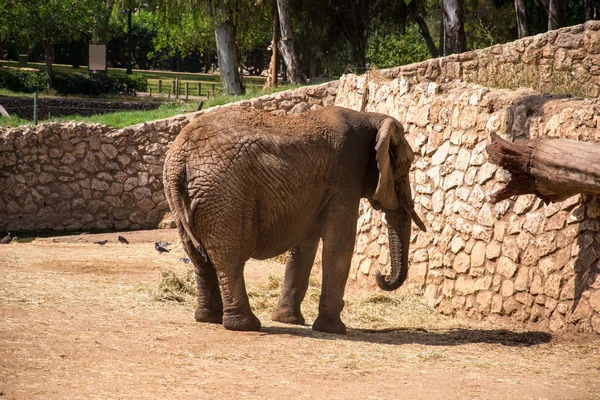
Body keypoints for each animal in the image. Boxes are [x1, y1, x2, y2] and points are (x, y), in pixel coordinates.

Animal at [163, 104, 426, 334]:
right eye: (408, 164)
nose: (381, 275)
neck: (371, 118)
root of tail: (180, 158)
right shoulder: (345, 177)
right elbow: (339, 245)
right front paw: (334, 330)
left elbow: (304, 247)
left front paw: (288, 320)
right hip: (225, 195)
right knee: (229, 258)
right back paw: (245, 325)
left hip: (186, 199)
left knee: (198, 257)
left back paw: (208, 319)